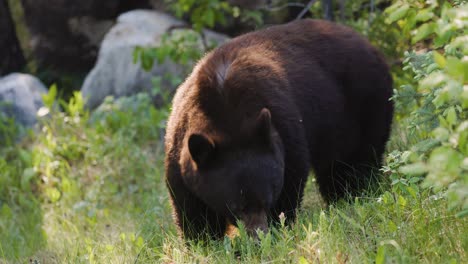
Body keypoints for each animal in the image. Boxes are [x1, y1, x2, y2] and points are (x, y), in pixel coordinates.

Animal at [165, 18, 394, 240]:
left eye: (267, 200)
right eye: (236, 207)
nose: (258, 238)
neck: (227, 113)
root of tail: (367, 42)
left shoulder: (283, 125)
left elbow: (290, 177)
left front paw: (279, 225)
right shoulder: (180, 144)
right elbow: (188, 202)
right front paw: (202, 239)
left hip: (364, 105)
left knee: (356, 161)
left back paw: (355, 194)